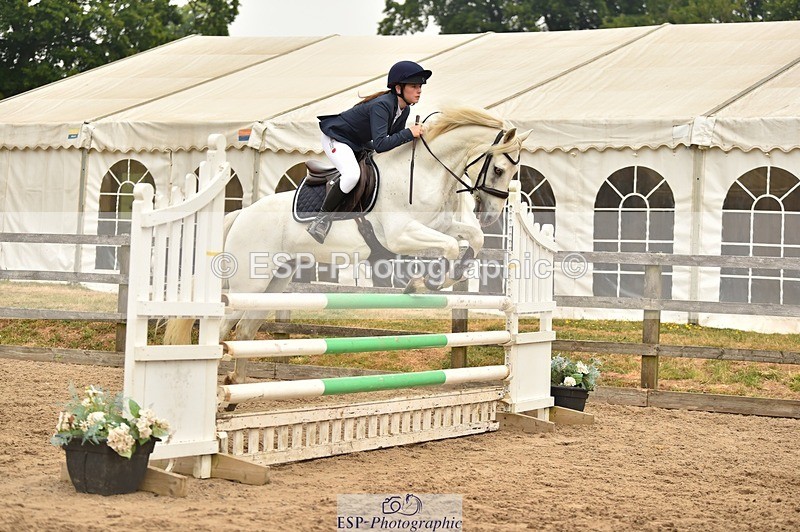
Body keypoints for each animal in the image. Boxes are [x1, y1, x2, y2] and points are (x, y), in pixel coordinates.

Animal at [165, 106, 530, 384]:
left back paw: (236, 387)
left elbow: (472, 240)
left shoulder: (437, 224)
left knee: (244, 330)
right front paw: (424, 282)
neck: (426, 171)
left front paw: (442, 277)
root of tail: (240, 214)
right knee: (225, 326)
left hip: (274, 283)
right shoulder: (401, 233)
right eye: (499, 169)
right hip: (249, 284)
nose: (490, 214)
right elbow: (452, 247)